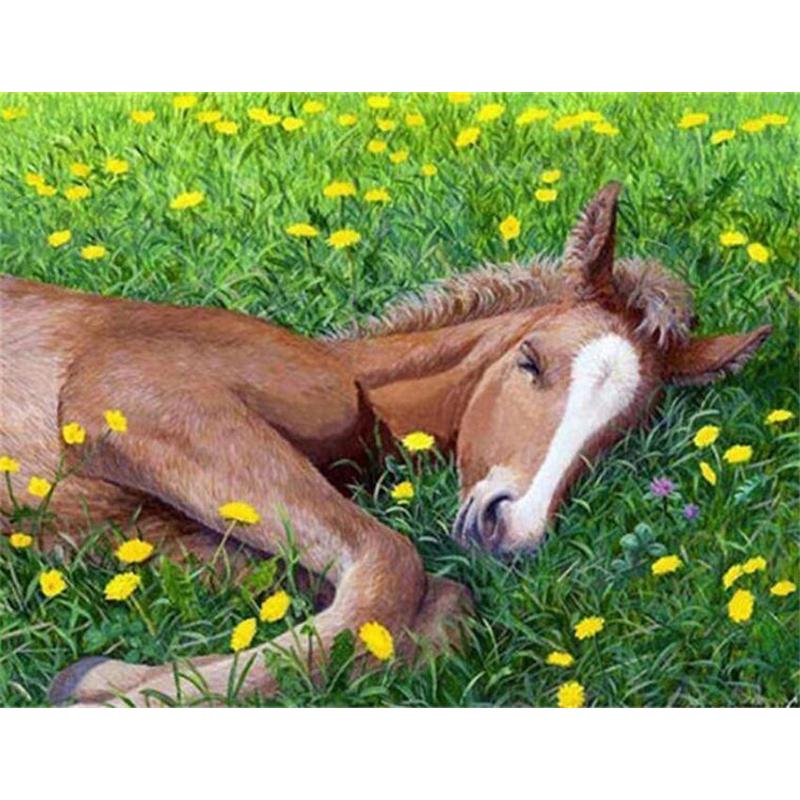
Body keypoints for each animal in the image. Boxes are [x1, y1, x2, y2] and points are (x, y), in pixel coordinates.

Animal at [0, 183, 771, 706]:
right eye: (530, 361)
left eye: (620, 432)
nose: (513, 532)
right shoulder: (138, 403)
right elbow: (392, 567)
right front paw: (102, 695)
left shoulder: (133, 530)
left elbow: (425, 602)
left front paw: (96, 678)